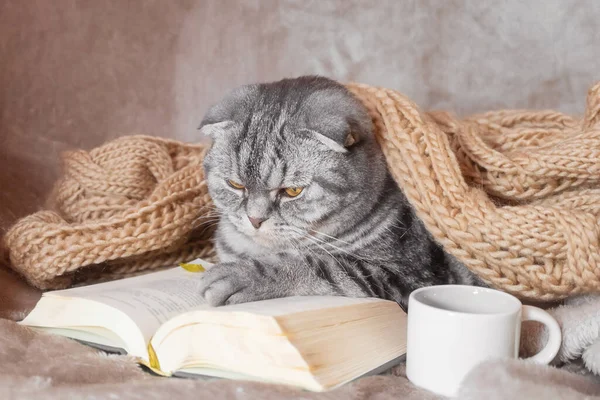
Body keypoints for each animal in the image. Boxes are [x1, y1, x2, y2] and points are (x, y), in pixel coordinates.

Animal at [197, 76, 482, 310]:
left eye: (292, 191)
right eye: (236, 185)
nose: (254, 219)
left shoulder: (410, 276)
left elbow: (321, 265)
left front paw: (240, 275)